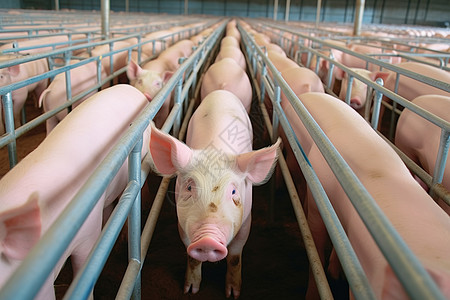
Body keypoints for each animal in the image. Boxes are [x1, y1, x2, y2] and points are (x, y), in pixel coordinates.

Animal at [149, 89, 280, 298]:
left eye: (233, 191)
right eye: (189, 187)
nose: (207, 238)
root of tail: (221, 92)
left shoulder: (246, 221)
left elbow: (234, 257)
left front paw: (233, 293)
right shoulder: (182, 224)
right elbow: (192, 258)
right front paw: (189, 291)